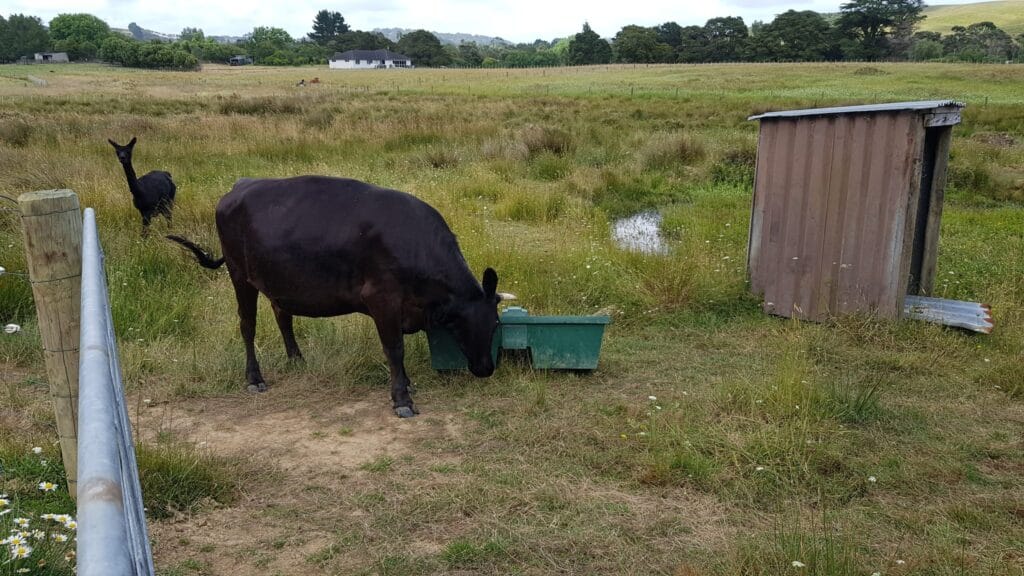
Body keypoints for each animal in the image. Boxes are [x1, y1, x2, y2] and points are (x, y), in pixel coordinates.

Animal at [167, 176, 513, 417]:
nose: (486, 368)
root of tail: (239, 186)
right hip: (239, 275)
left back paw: (297, 359)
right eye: (460, 325)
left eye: (495, 325)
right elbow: (395, 349)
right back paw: (254, 378)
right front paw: (402, 398)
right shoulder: (382, 299)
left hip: (279, 281)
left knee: (282, 316)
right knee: (247, 325)